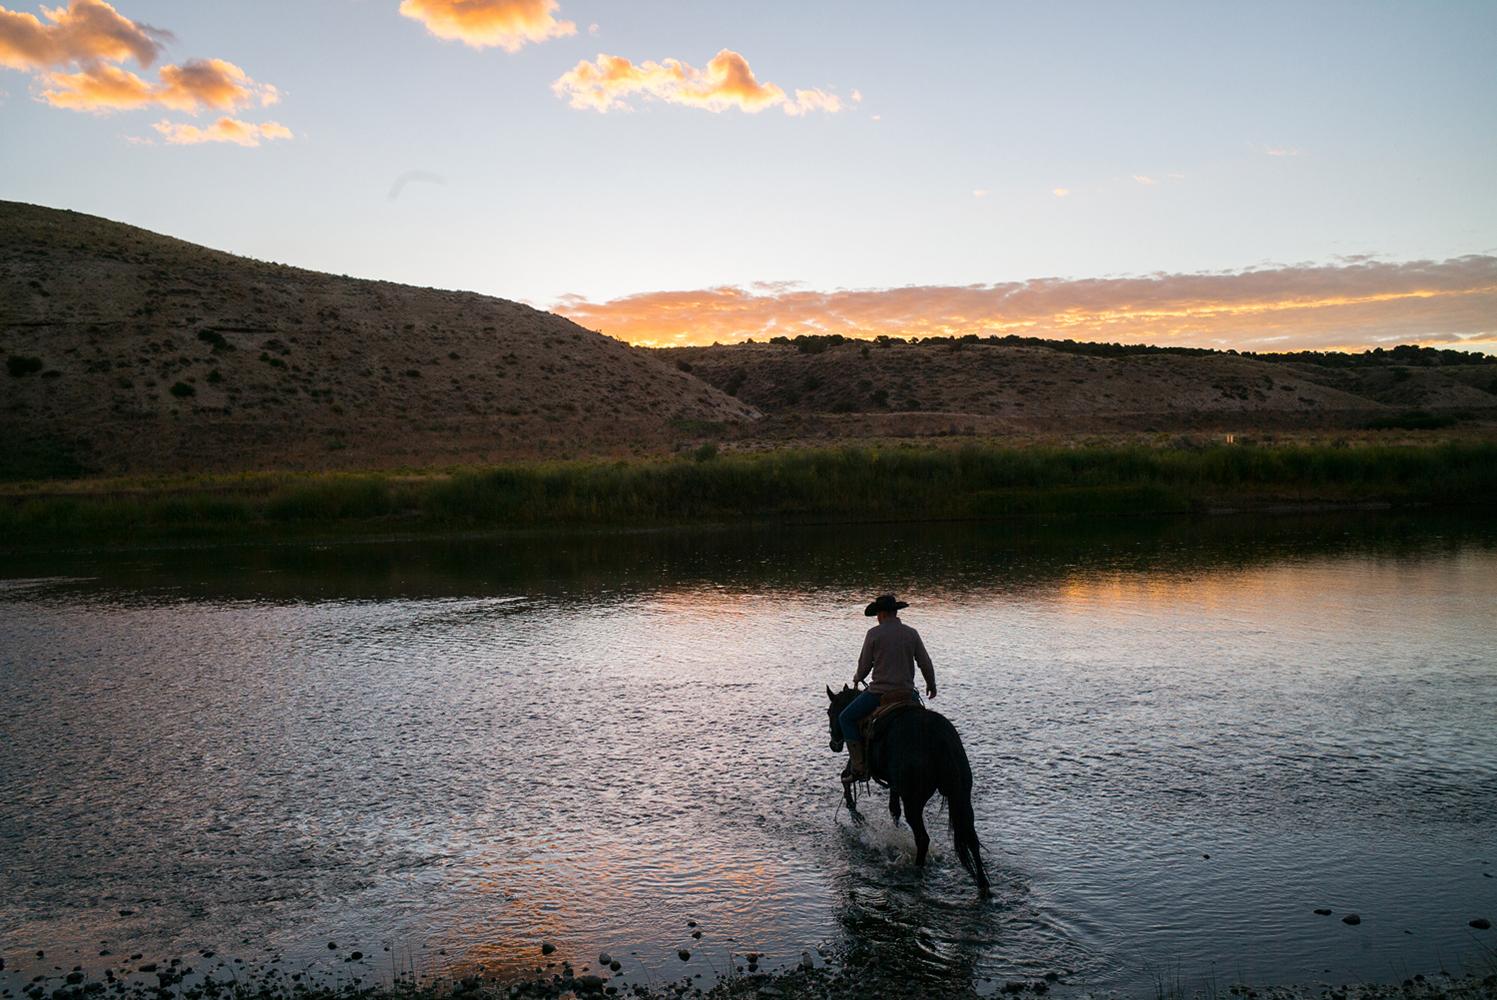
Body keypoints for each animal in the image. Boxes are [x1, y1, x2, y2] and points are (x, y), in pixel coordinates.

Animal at [826, 682, 988, 892]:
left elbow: (844, 778)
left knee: (923, 838)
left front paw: (856, 814)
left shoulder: (859, 766)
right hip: (961, 795)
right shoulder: (895, 786)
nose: (834, 744)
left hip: (914, 800)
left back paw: (917, 870)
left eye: (830, 712)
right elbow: (894, 809)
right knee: (971, 837)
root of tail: (940, 739)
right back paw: (983, 884)